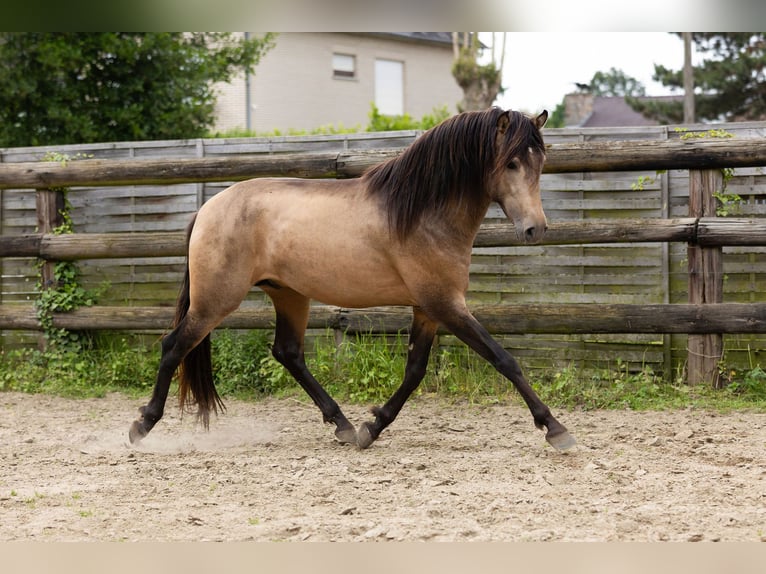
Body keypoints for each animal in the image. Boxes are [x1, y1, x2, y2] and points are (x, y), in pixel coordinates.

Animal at [130, 106, 576, 452]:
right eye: (511, 163)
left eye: (540, 163)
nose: (535, 229)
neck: (422, 213)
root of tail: (208, 208)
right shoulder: (446, 305)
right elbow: (504, 360)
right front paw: (555, 428)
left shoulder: (428, 309)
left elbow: (414, 372)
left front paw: (371, 427)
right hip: (215, 301)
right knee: (173, 346)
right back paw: (142, 425)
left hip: (289, 295)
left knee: (288, 353)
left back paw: (343, 425)